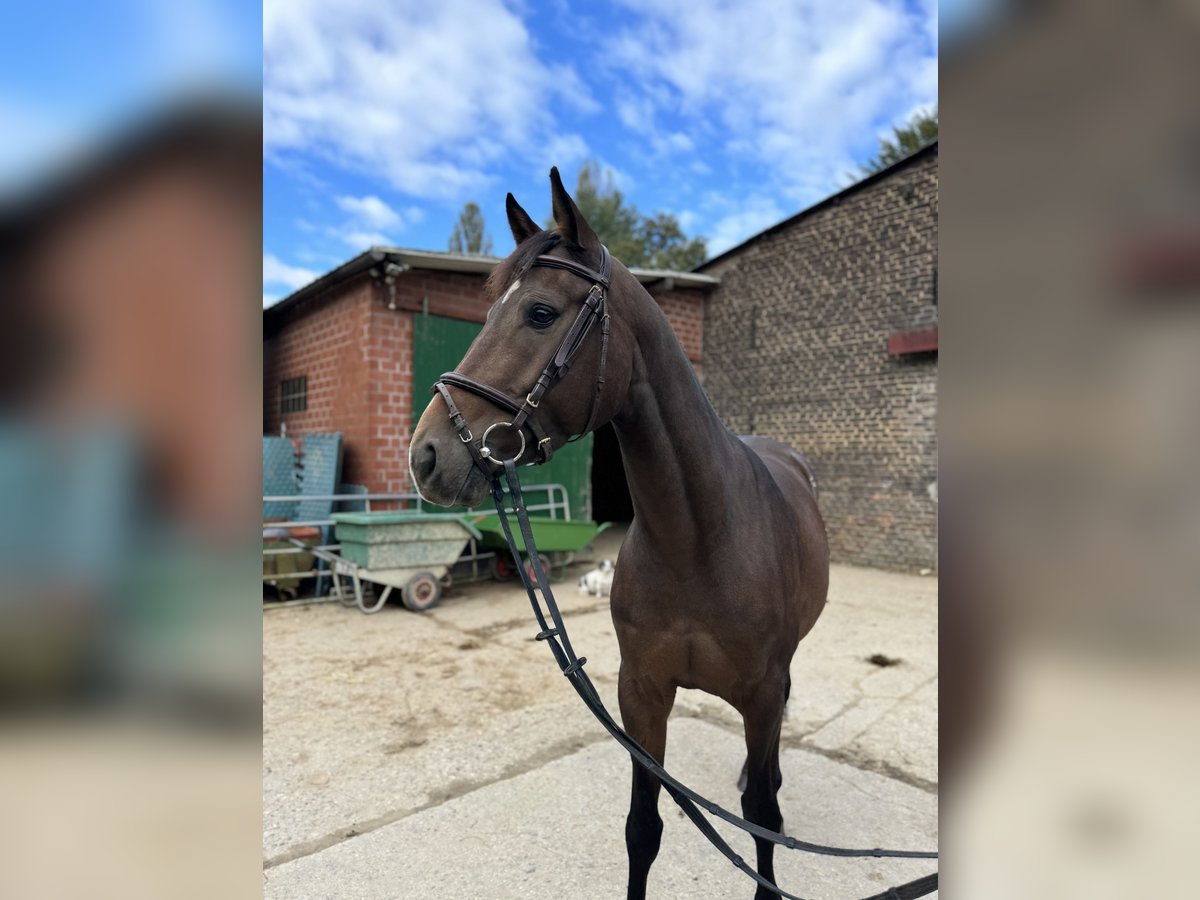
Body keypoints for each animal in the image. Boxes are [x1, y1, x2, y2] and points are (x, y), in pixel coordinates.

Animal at [408, 168, 830, 897]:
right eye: (485, 315)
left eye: (540, 312)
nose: (426, 455)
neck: (697, 541)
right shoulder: (640, 693)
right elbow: (643, 829)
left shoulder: (757, 692)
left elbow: (762, 818)